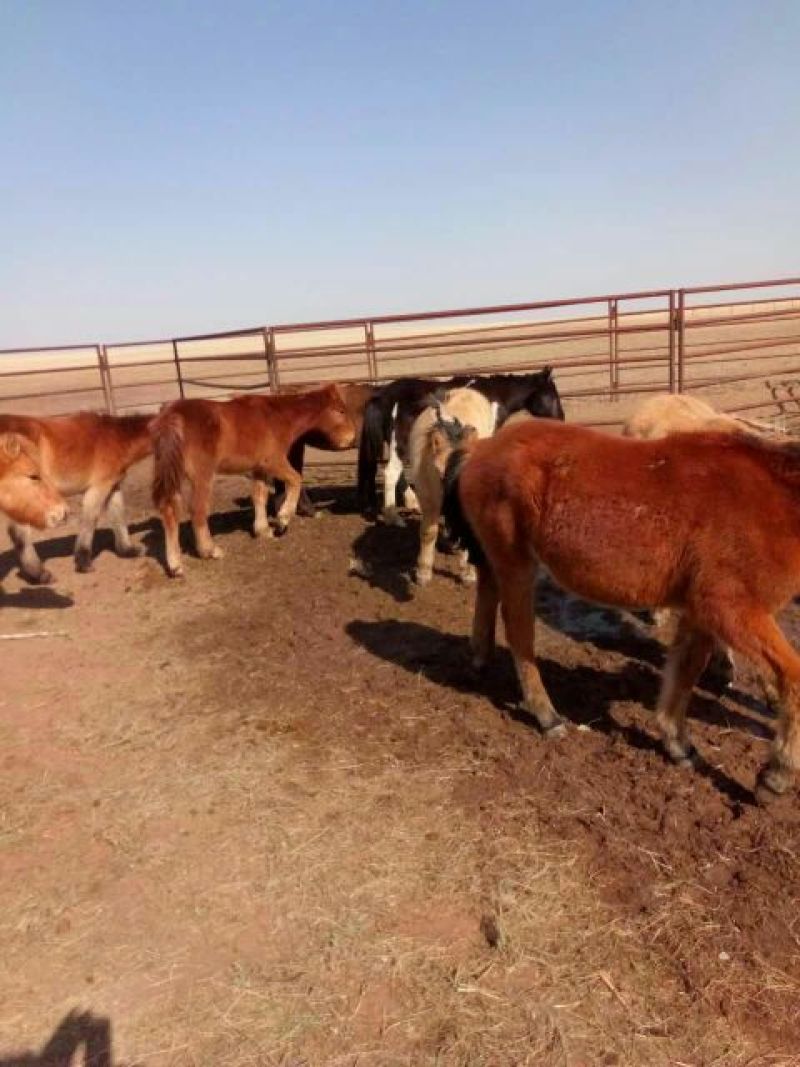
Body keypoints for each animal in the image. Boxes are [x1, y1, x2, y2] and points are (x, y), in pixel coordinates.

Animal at [0, 412, 152, 583]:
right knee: (20, 534)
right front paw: (83, 563)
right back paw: (40, 574)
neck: (116, 437)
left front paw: (127, 550)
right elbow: (90, 520)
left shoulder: (113, 486)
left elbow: (118, 515)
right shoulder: (98, 488)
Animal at [151, 383, 357, 578]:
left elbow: (260, 496)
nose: (352, 439)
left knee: (169, 511)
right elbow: (295, 479)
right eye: (340, 411)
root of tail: (171, 416)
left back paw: (176, 566)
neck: (277, 417)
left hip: (174, 476)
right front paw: (283, 520)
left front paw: (263, 530)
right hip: (202, 476)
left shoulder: (259, 469)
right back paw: (210, 550)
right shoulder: (273, 461)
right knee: (197, 511)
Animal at [357, 367, 564, 523]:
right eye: (553, 396)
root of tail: (382, 395)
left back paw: (413, 503)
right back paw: (394, 517)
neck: (493, 398)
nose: (562, 420)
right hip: (399, 441)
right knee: (391, 473)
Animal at [442, 418, 800, 803]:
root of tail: (481, 447)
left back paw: (479, 660)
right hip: (516, 563)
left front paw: (677, 742)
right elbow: (792, 677)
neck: (771, 502)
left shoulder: (701, 612)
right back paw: (547, 715)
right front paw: (775, 776)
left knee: (487, 591)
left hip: (499, 559)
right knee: (519, 631)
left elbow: (685, 671)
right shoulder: (731, 608)